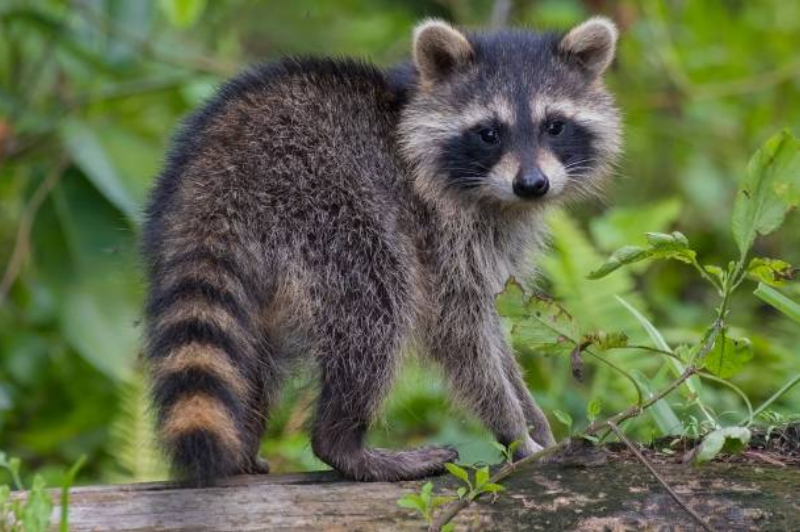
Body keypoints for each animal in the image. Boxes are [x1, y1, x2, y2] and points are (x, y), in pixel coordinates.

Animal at [144, 16, 624, 484]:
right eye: (489, 133)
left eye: (554, 126)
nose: (532, 184)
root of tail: (220, 169)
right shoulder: (438, 229)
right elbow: (461, 331)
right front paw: (514, 428)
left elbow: (492, 324)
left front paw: (532, 416)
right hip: (327, 209)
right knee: (376, 306)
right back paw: (343, 442)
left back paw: (245, 444)